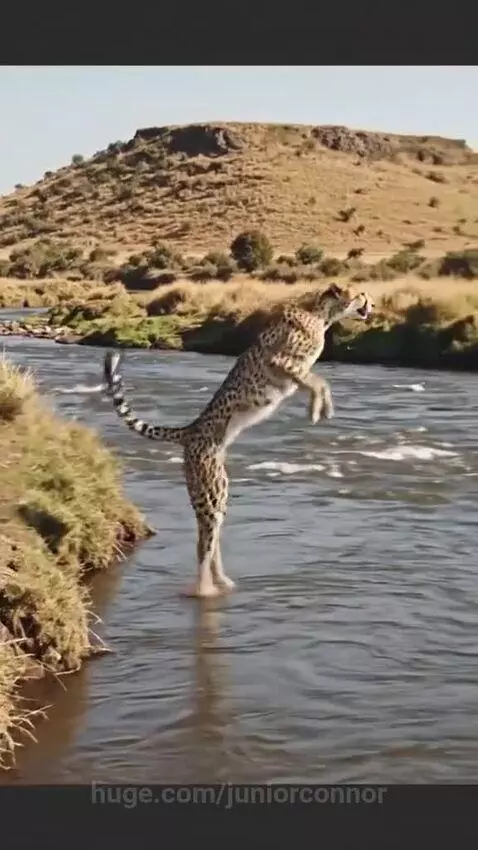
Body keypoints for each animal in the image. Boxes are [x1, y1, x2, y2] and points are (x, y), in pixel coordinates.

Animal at [103, 282, 373, 599]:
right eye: (360, 294)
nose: (371, 302)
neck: (320, 314)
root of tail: (189, 429)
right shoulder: (282, 362)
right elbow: (319, 381)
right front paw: (317, 409)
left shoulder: (294, 368)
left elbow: (319, 381)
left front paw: (322, 408)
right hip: (211, 493)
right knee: (204, 545)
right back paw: (205, 589)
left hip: (217, 492)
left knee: (208, 541)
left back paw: (222, 582)